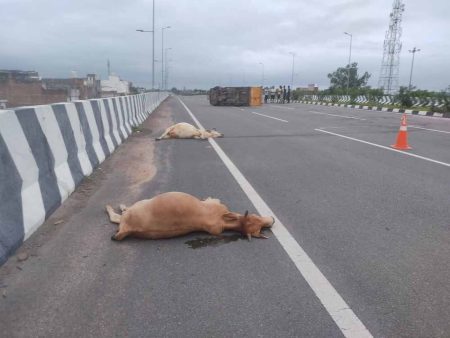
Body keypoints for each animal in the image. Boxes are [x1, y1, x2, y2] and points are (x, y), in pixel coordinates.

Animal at [106, 191, 274, 242]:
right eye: (256, 218)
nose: (272, 221)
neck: (223, 221)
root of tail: (128, 229)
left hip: (138, 206)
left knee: (117, 216)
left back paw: (116, 206)